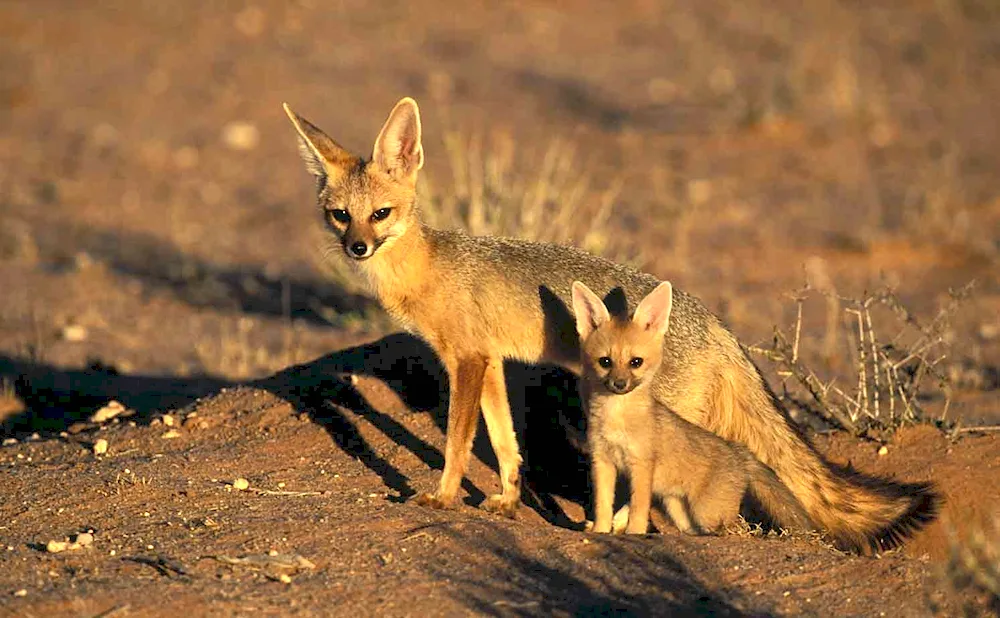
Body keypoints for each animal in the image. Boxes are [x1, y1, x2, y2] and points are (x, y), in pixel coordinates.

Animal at [282, 97, 936, 552]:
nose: (358, 248)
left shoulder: (465, 360)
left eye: (380, 214)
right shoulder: (489, 361)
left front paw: (443, 498)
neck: (427, 268)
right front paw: (507, 500)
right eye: (340, 216)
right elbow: (505, 440)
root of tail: (716, 322)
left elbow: (457, 442)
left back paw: (621, 523)